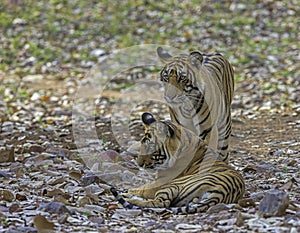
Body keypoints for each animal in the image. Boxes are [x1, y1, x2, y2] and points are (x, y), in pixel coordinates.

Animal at [110, 112, 244, 214]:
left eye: (151, 146)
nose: (138, 163)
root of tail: (221, 192)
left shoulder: (161, 181)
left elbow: (141, 188)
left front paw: (127, 191)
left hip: (173, 185)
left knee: (161, 203)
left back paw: (128, 198)